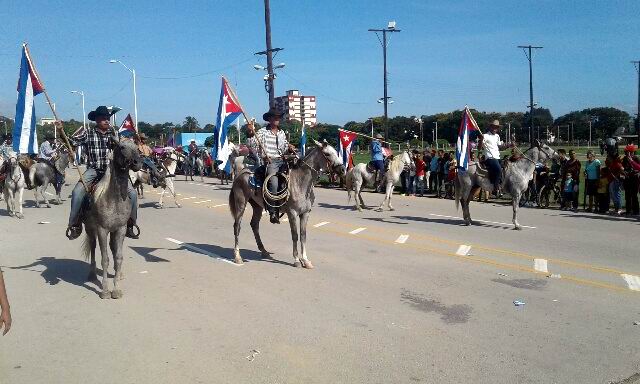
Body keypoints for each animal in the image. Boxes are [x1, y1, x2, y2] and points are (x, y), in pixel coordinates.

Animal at [82, 138, 142, 300]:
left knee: (113, 248)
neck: (113, 199)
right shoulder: (102, 230)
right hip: (90, 229)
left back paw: (118, 273)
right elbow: (105, 259)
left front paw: (116, 289)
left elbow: (119, 256)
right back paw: (91, 274)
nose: (137, 162)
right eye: (121, 147)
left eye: (137, 147)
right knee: (93, 247)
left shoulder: (120, 229)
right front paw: (105, 291)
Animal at [230, 140, 344, 268]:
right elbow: (295, 235)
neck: (300, 182)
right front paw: (296, 260)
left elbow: (303, 235)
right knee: (237, 226)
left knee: (254, 225)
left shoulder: (305, 213)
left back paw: (264, 251)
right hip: (241, 203)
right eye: (327, 154)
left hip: (257, 206)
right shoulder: (292, 213)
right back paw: (237, 257)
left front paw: (305, 260)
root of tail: (241, 173)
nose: (343, 169)